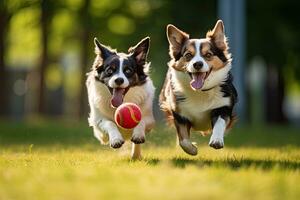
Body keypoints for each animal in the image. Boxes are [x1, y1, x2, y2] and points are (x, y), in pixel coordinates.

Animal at [159, 19, 237, 155]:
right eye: (188, 55)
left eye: (208, 55)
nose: (197, 64)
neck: (201, 91)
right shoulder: (179, 114)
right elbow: (183, 140)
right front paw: (192, 149)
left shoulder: (223, 106)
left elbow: (220, 123)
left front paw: (216, 140)